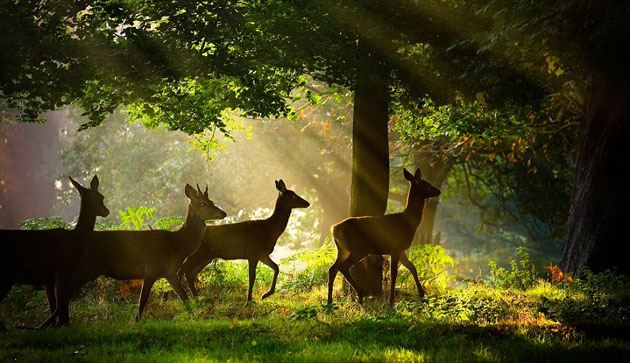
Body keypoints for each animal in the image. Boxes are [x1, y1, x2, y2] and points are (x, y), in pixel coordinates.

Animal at [0, 175, 109, 332]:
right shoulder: (62, 272)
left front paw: (54, 326)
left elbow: (55, 305)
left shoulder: (50, 278)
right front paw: (61, 325)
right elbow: (61, 303)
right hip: (7, 274)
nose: (107, 211)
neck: (75, 242)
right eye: (100, 198)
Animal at [39, 185, 227, 328]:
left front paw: (196, 316)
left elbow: (184, 297)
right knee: (64, 294)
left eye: (212, 201)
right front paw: (136, 321)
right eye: (203, 203)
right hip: (87, 268)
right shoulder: (151, 269)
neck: (177, 246)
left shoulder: (170, 272)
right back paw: (53, 324)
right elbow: (142, 300)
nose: (223, 213)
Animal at [178, 181, 312, 302]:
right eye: (293, 196)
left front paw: (266, 294)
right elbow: (252, 277)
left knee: (189, 274)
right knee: (181, 271)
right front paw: (249, 300)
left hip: (206, 258)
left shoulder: (263, 254)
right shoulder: (253, 252)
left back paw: (196, 298)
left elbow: (276, 267)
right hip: (196, 254)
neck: (270, 229)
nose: (307, 203)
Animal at [328, 169, 442, 306]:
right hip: (359, 248)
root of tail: (334, 229)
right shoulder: (396, 247)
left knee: (332, 268)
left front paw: (421, 294)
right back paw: (360, 295)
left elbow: (412, 267)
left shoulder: (401, 249)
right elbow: (394, 273)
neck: (410, 222)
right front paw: (391, 301)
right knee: (343, 267)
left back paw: (330, 301)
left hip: (342, 249)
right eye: (426, 184)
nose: (439, 191)